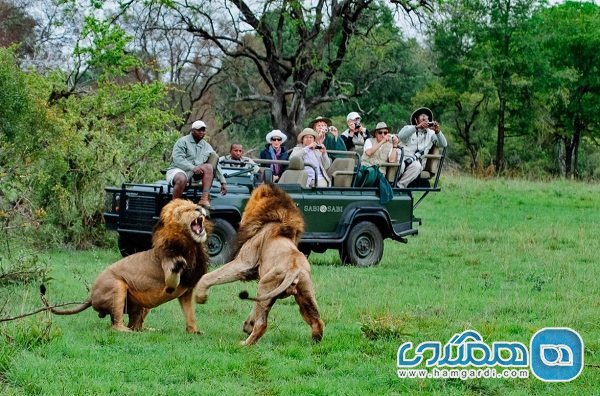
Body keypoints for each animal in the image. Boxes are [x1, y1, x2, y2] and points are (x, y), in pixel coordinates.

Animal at [40, 200, 211, 332]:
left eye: (195, 204)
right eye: (185, 210)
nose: (199, 208)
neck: (193, 246)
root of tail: (90, 295)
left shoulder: (187, 291)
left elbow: (190, 314)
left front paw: (193, 331)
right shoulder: (169, 273)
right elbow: (172, 279)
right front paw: (179, 264)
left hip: (142, 304)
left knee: (135, 324)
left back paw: (147, 330)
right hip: (117, 287)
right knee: (116, 325)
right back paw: (128, 332)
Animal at [195, 184, 324, 344]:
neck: (275, 221)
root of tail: (294, 270)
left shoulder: (244, 263)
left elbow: (208, 276)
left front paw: (200, 296)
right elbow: (255, 307)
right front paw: (247, 325)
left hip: (265, 284)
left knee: (262, 324)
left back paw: (244, 343)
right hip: (303, 293)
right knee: (317, 321)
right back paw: (314, 341)